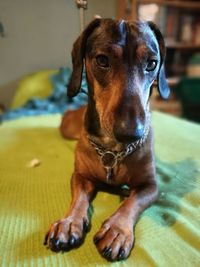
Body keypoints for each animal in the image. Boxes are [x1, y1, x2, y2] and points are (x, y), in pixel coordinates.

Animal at [43, 18, 169, 262]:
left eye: (151, 64)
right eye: (102, 60)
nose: (132, 132)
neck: (113, 149)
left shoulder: (151, 186)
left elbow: (132, 201)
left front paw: (117, 230)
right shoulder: (80, 176)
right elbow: (79, 198)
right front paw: (69, 222)